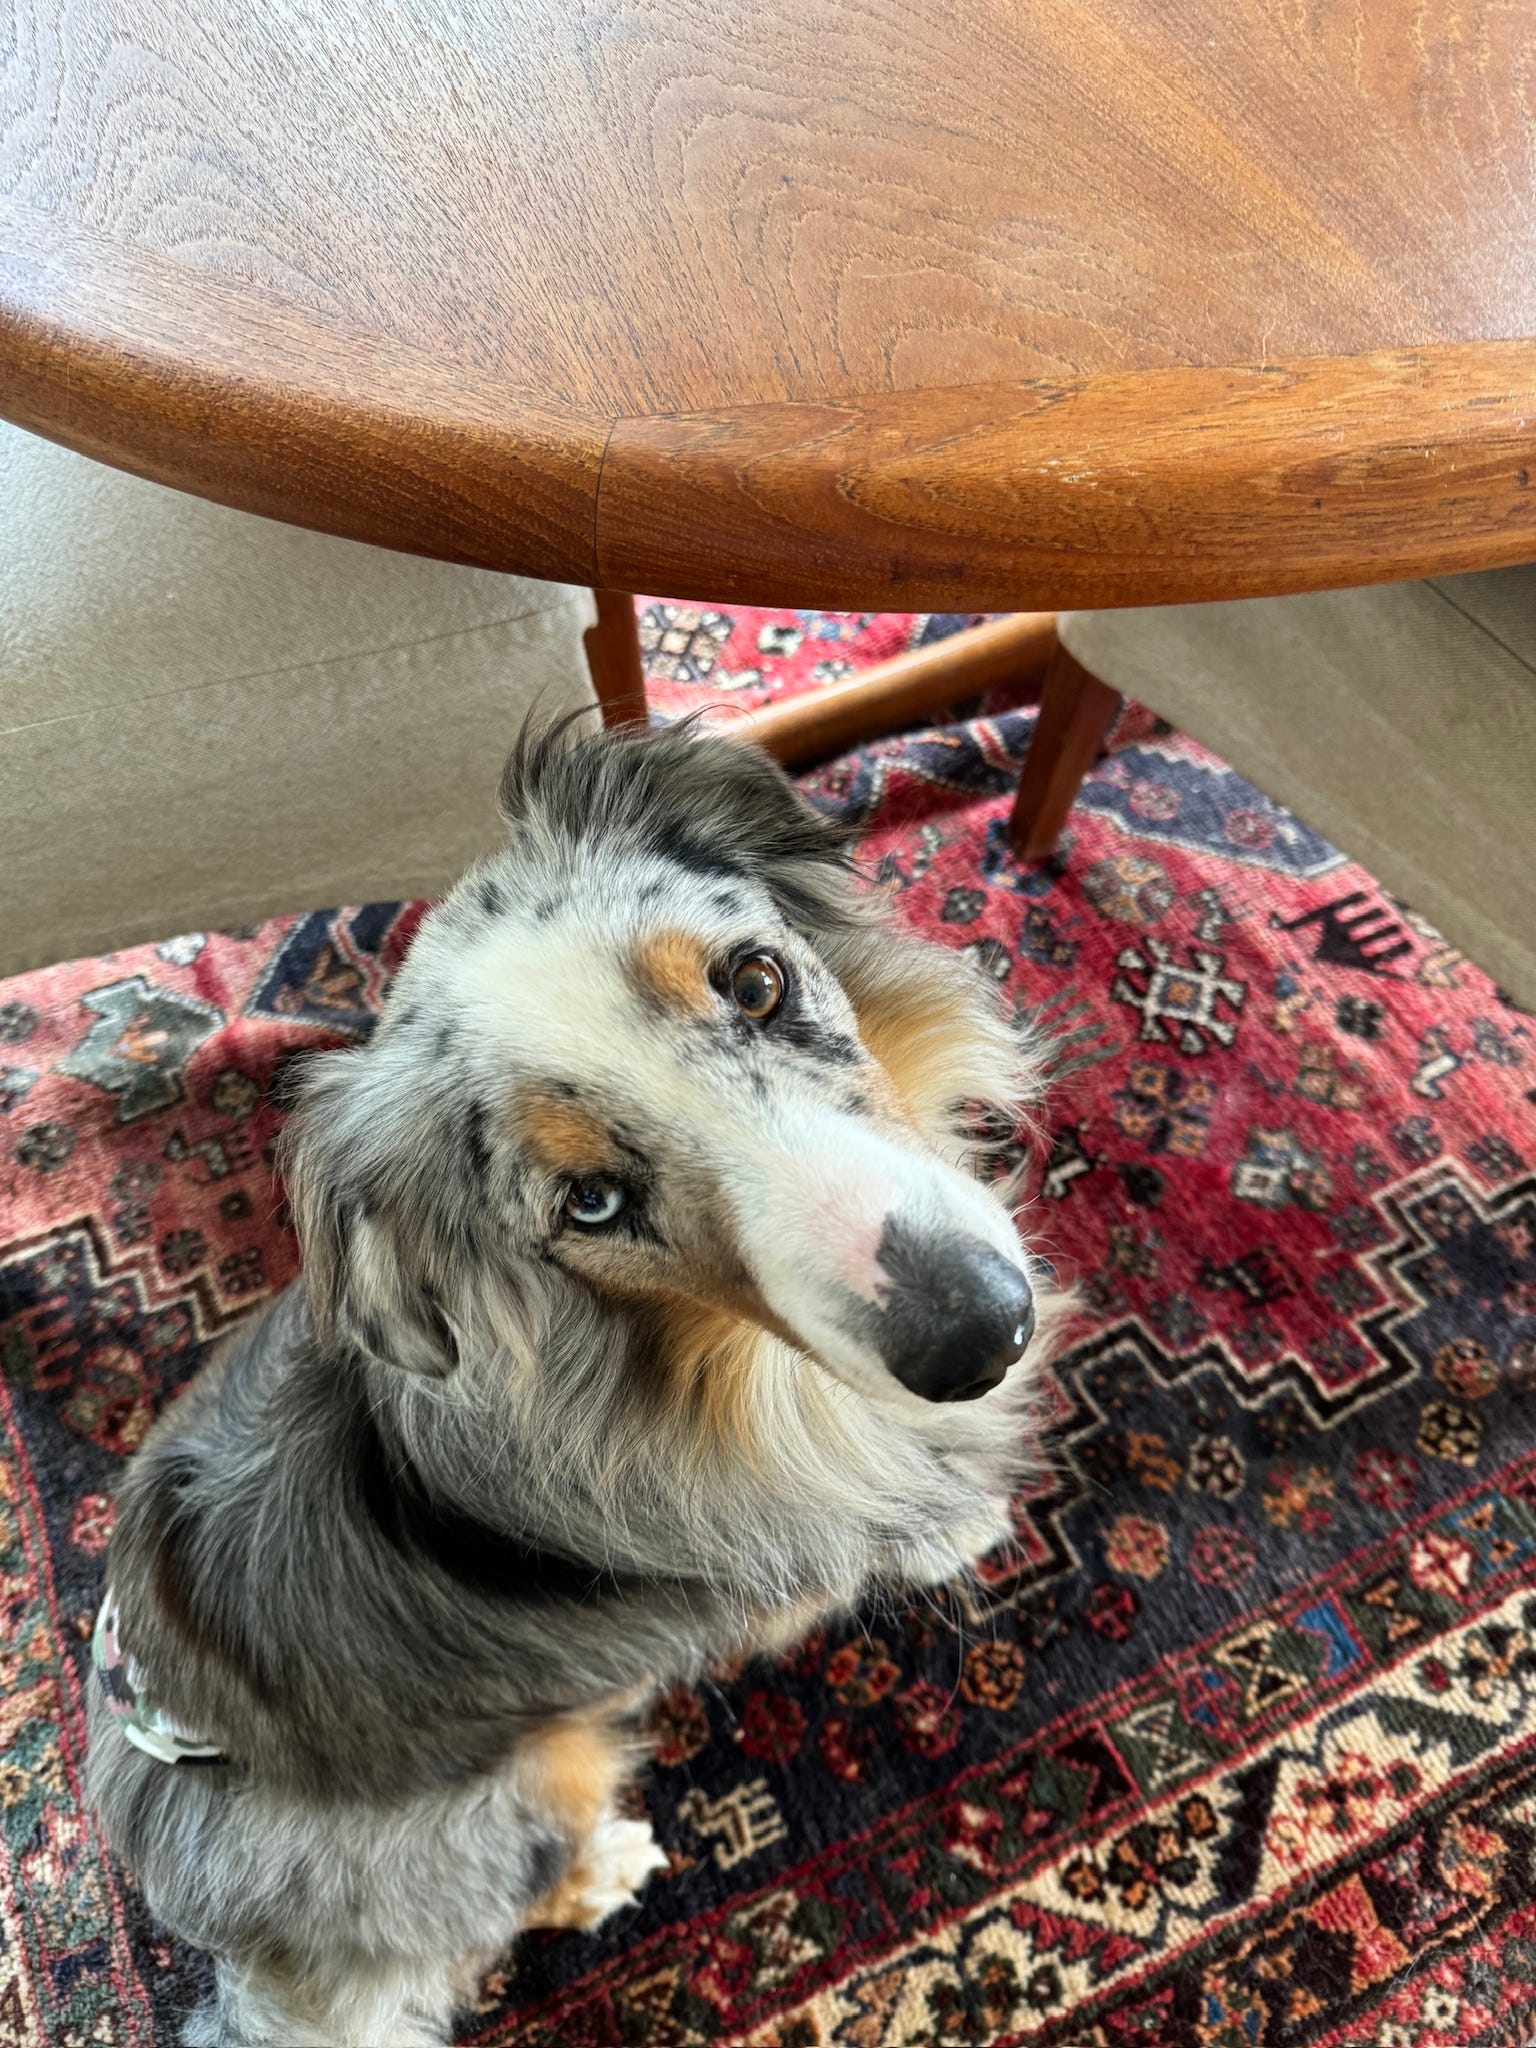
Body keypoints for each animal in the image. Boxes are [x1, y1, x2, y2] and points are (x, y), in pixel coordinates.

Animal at [87, 715, 1068, 2047]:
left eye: (756, 981)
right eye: (592, 1202)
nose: (979, 1331)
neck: (722, 1358)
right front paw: (963, 1529)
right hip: (518, 1783)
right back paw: (606, 1867)